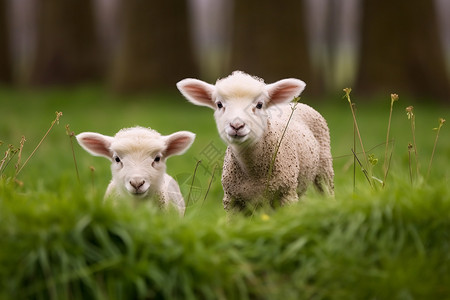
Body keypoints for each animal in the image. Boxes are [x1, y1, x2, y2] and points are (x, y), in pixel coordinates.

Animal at [177, 70, 334, 212]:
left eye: (259, 105)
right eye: (219, 104)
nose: (237, 125)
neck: (253, 173)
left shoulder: (286, 193)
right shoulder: (233, 200)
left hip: (324, 168)